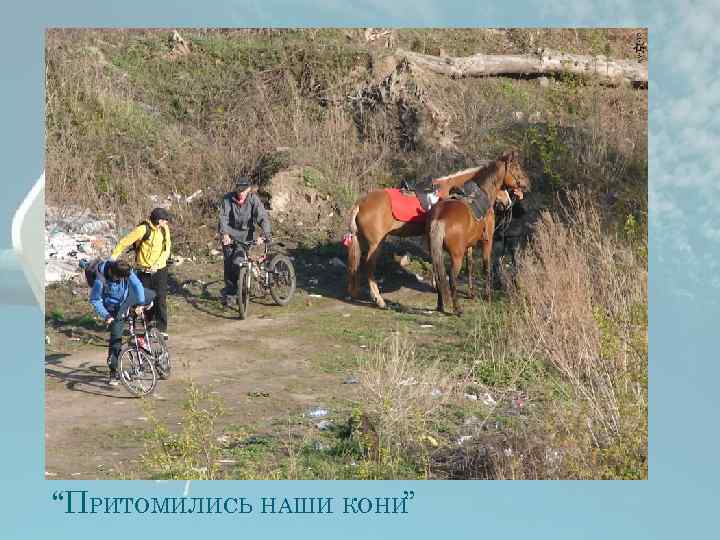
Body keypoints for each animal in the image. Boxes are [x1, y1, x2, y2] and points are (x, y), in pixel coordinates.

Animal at [348, 150, 516, 310]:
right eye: (503, 187)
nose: (507, 202)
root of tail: (360, 203)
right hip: (375, 244)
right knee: (369, 267)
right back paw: (379, 300)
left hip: (361, 240)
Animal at [430, 150, 532, 314]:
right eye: (516, 167)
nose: (527, 183)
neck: (484, 193)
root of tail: (440, 217)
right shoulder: (487, 240)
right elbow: (486, 267)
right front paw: (487, 296)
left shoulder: (469, 245)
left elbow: (470, 266)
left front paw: (471, 294)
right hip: (456, 256)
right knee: (451, 277)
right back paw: (457, 309)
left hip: (437, 252)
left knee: (439, 274)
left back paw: (440, 305)